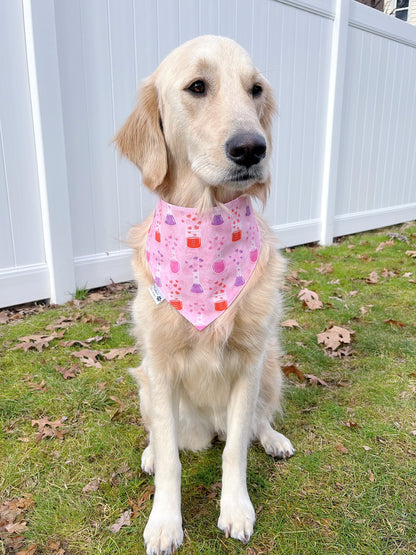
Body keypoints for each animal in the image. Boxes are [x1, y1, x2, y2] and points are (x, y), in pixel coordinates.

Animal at [115, 34, 294, 555]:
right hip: (144, 383)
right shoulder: (160, 367)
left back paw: (273, 438)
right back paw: (151, 453)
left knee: (255, 423)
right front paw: (164, 522)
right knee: (165, 437)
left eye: (256, 90)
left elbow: (235, 448)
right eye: (197, 86)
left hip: (271, 369)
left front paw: (235, 509)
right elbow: (172, 461)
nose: (252, 148)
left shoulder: (250, 362)